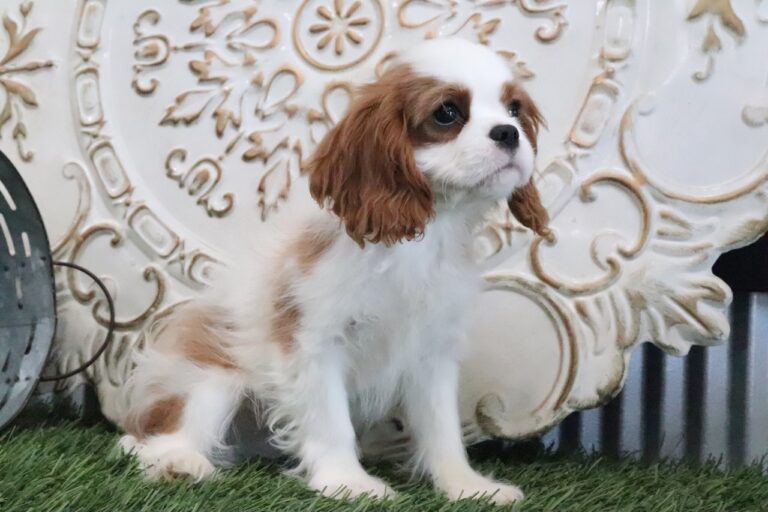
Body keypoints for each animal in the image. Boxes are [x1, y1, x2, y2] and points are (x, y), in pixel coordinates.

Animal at [117, 37, 549, 504]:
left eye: (514, 109)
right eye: (447, 113)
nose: (508, 133)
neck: (424, 237)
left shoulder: (432, 355)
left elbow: (441, 428)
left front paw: (465, 485)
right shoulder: (313, 343)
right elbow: (330, 421)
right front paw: (348, 482)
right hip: (211, 376)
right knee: (157, 435)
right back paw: (178, 461)